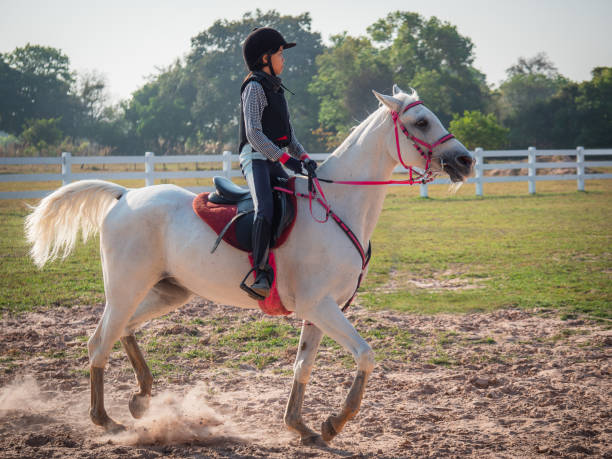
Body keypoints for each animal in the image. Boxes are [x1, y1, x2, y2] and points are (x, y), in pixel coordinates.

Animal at [23, 85, 474, 446]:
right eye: (420, 121)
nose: (466, 161)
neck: (336, 205)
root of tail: (125, 196)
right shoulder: (319, 306)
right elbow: (364, 355)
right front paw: (334, 422)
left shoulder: (318, 311)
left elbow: (302, 366)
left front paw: (301, 427)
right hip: (124, 289)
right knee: (99, 342)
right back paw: (105, 420)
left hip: (169, 292)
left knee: (124, 330)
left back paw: (141, 397)